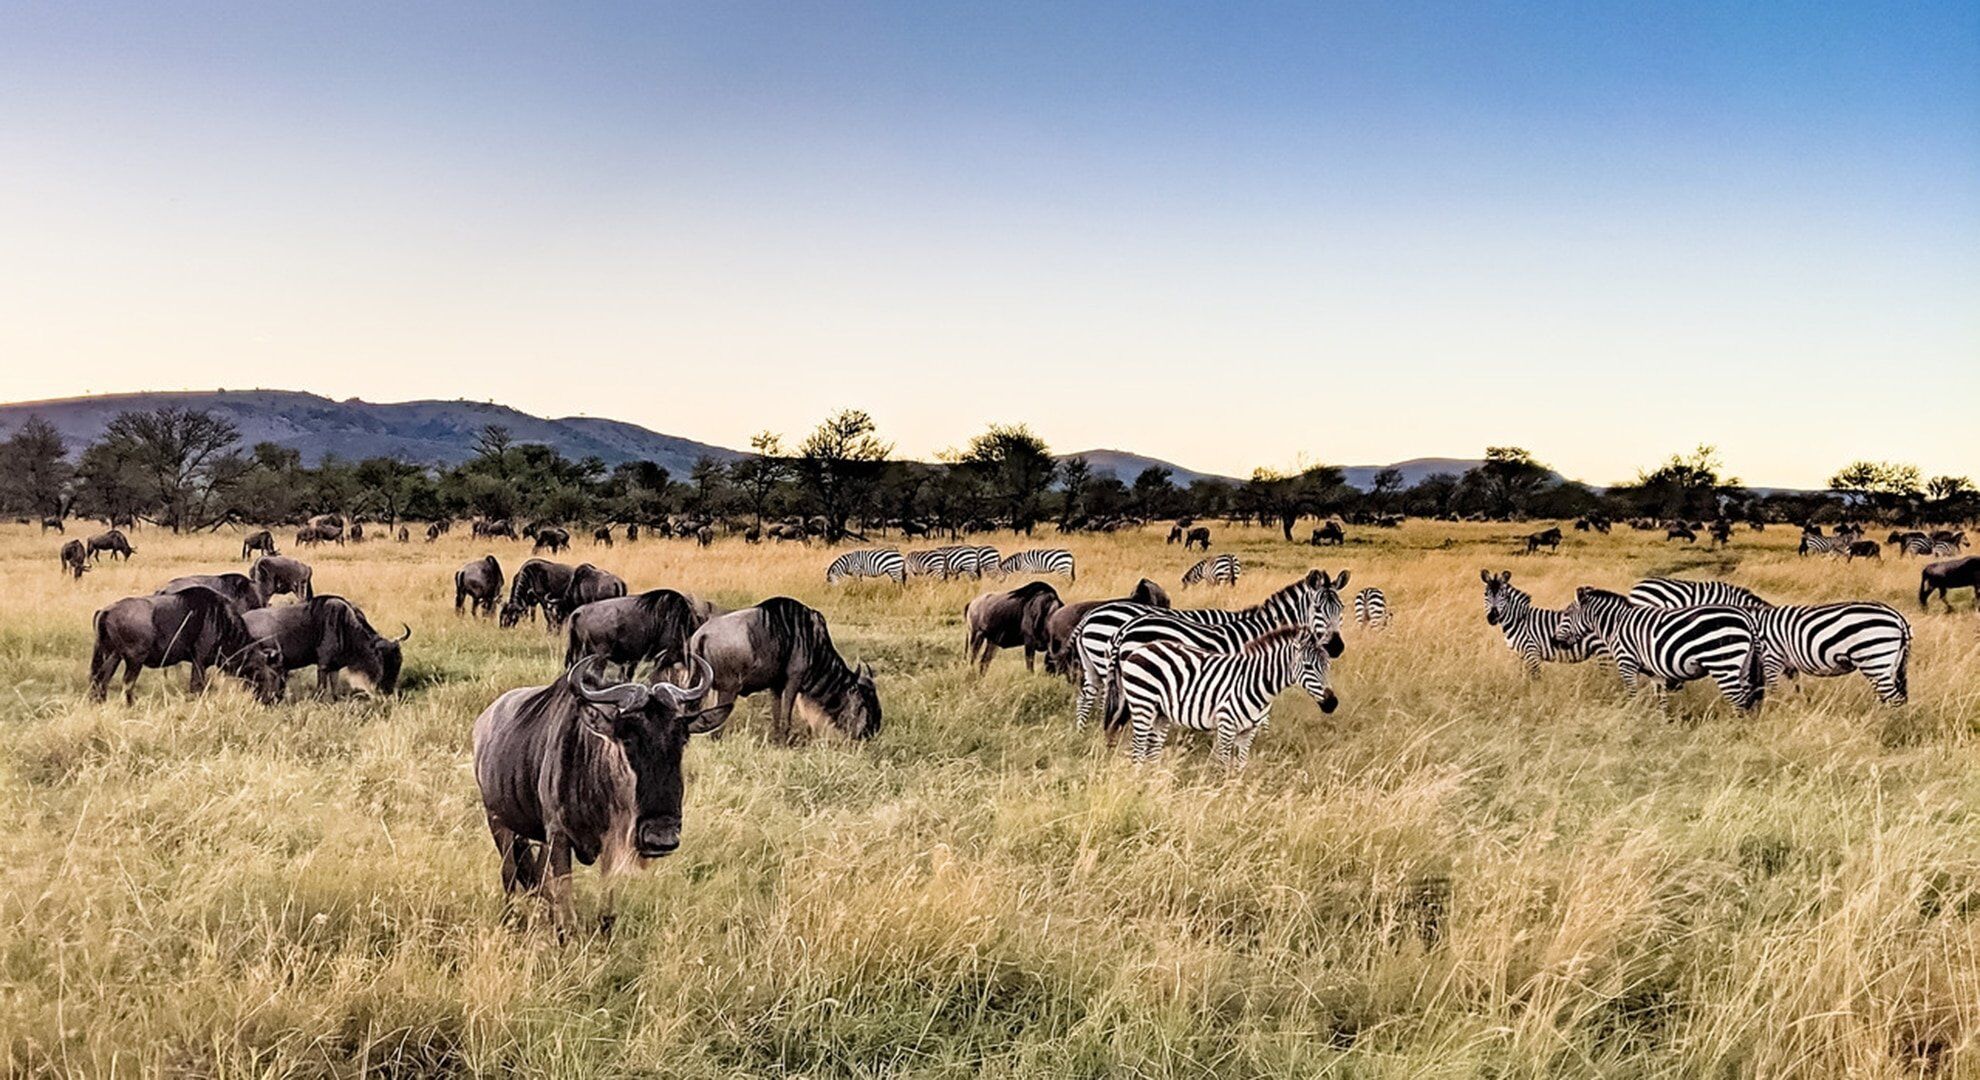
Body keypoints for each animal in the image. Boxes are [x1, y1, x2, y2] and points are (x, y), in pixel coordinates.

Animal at [1077, 566, 1354, 729]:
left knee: (1087, 698)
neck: (1261, 629)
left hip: (1097, 670)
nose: (1337, 647)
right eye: (1317, 609)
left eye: (1341, 609)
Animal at [1124, 622, 1338, 764]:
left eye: (1328, 666)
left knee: (1152, 751)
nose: (1332, 703)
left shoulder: (1248, 732)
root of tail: (1144, 647)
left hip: (1161, 714)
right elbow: (1224, 765)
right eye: (1309, 667)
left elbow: (1240, 765)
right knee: (1138, 748)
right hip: (1142, 705)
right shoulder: (1226, 725)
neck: (1257, 684)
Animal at [1560, 586, 1766, 713]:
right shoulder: (1655, 672)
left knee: (1739, 700)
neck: (1616, 624)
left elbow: (1632, 694)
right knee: (1749, 698)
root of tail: (1747, 619)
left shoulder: (1626, 662)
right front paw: (1662, 724)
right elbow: (1661, 700)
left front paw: (1632, 716)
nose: (1557, 641)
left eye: (1567, 614)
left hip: (1722, 662)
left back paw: (1734, 731)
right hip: (1744, 665)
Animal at [1750, 602, 1916, 701]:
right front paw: (1798, 706)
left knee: (1895, 699)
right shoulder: (1789, 665)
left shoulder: (1772, 657)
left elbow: (1772, 689)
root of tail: (1898, 617)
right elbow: (1796, 688)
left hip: (1875, 661)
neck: (1757, 623)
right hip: (1892, 665)